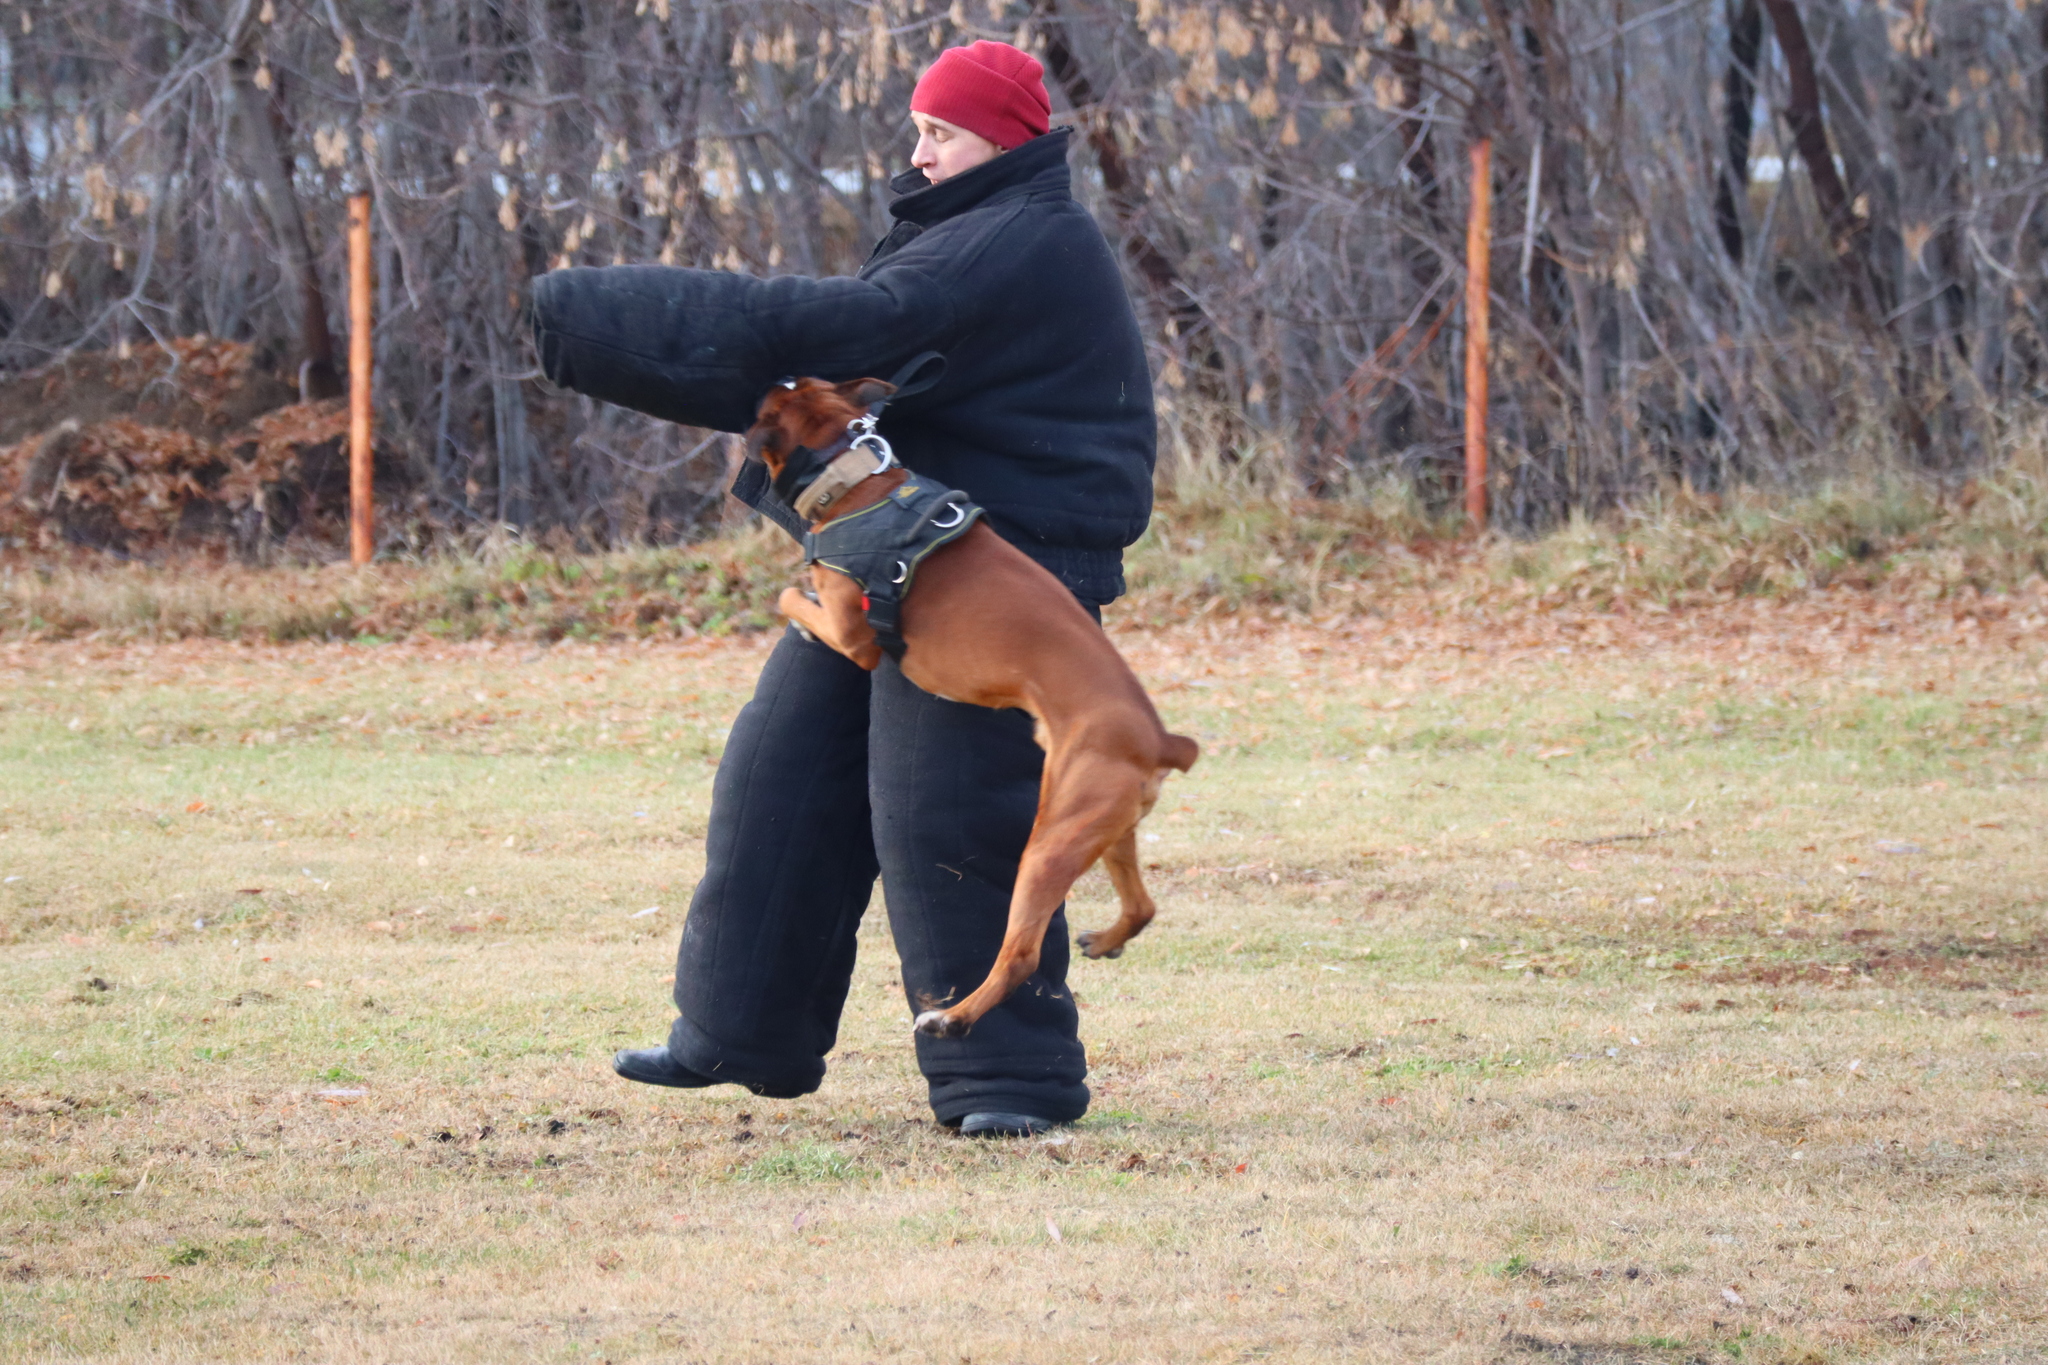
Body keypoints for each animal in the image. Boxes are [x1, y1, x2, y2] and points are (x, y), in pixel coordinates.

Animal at [753, 374, 1196, 1035]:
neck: (857, 479)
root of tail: (1157, 740)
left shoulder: (855, 637)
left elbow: (790, 594)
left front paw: (801, 619)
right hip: (1105, 827)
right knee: (1142, 905)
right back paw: (1106, 939)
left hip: (1050, 842)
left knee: (1021, 955)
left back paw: (953, 1018)